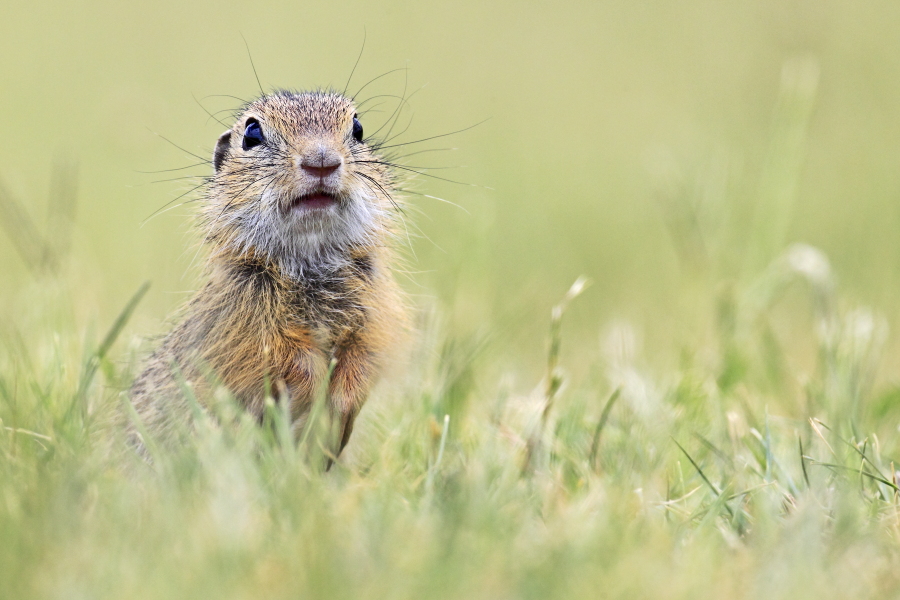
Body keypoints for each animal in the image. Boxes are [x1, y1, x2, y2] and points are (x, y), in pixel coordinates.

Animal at [128, 89, 406, 460]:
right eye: (252, 134)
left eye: (358, 129)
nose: (321, 160)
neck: (310, 263)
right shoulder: (244, 319)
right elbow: (285, 359)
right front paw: (304, 411)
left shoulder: (373, 315)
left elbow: (363, 359)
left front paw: (332, 423)